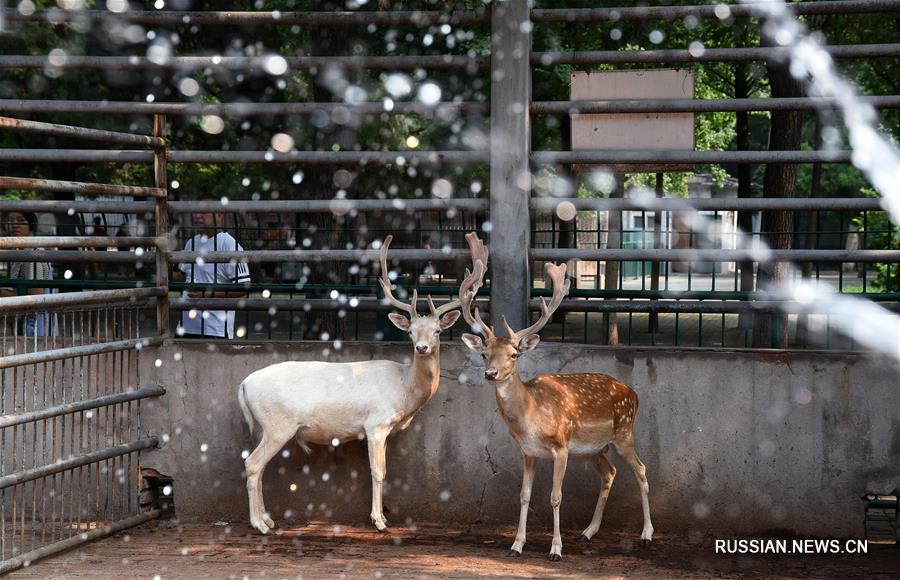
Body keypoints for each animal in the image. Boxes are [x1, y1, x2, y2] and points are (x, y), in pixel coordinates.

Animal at [458, 255, 652, 560]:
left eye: (514, 355)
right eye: (484, 354)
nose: (491, 374)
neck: (533, 417)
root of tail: (634, 393)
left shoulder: (561, 447)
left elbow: (555, 497)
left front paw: (556, 549)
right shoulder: (528, 452)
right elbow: (524, 495)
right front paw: (516, 545)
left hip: (623, 432)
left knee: (641, 470)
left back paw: (646, 535)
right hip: (591, 449)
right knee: (610, 472)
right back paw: (587, 532)